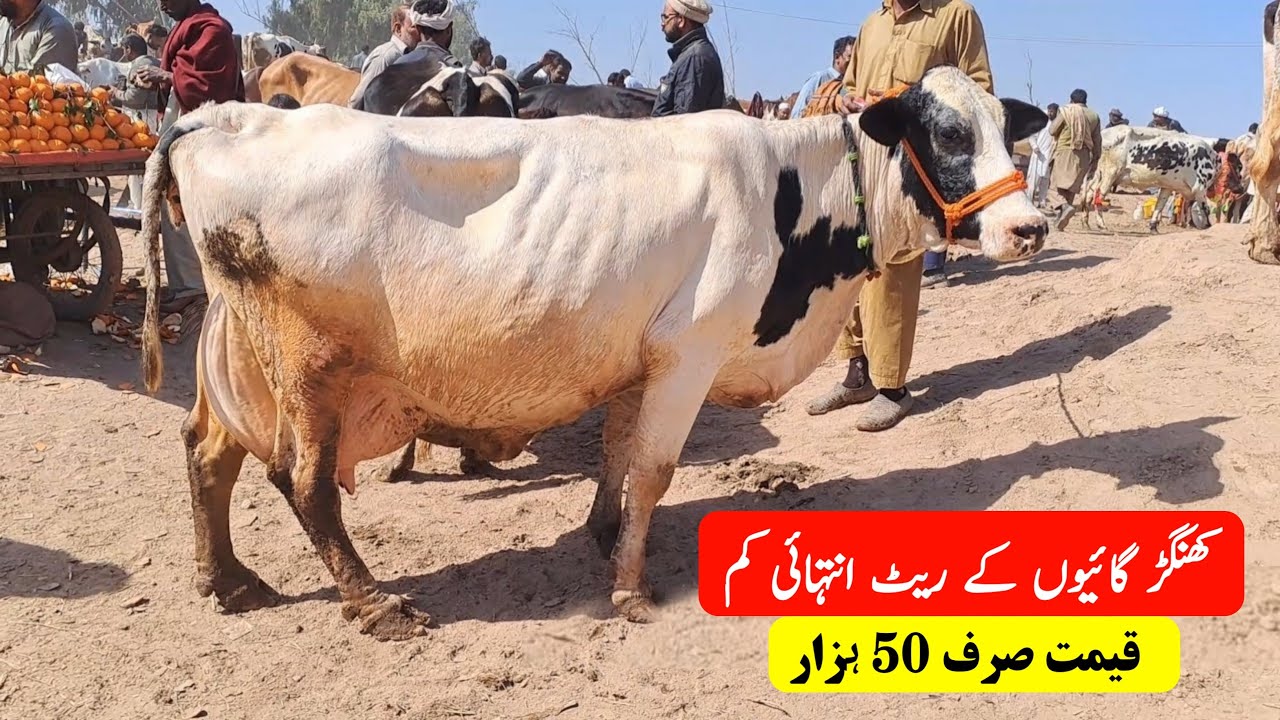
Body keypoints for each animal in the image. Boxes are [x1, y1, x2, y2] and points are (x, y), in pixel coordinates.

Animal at [136, 65, 1047, 640]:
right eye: (948, 132)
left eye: (1009, 130)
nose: (1028, 227)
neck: (788, 184)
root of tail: (226, 113)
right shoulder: (688, 354)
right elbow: (653, 470)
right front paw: (631, 592)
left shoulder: (639, 360)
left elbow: (617, 457)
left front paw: (606, 537)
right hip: (310, 368)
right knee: (304, 484)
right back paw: (371, 604)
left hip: (239, 356)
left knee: (206, 453)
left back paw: (227, 578)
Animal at [1080, 125, 1221, 233]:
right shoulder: (1200, 188)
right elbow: (1205, 209)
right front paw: (1208, 226)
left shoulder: (1169, 186)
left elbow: (1160, 205)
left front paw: (1153, 227)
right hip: (1110, 174)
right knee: (1098, 196)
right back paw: (1101, 224)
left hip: (1098, 174)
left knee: (1088, 196)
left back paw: (1085, 222)